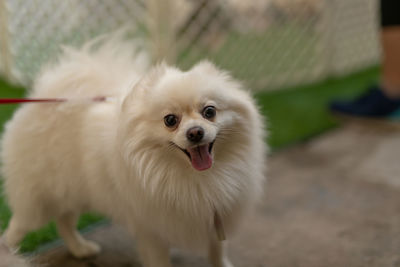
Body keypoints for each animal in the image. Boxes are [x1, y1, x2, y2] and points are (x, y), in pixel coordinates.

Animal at [2, 38, 268, 266]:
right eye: (170, 120)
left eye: (209, 111)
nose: (195, 132)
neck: (196, 178)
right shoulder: (152, 228)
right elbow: (160, 261)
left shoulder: (215, 218)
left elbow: (217, 253)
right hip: (39, 200)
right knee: (18, 227)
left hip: (74, 189)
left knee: (64, 221)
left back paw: (80, 248)